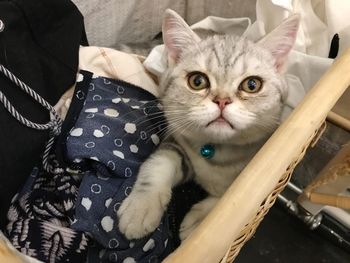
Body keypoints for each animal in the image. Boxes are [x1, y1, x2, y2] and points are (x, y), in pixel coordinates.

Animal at [117, 9, 298, 241]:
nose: (222, 100)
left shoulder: (263, 175)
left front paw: (200, 222)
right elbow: (160, 162)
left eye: (252, 85)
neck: (218, 154)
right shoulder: (176, 140)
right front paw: (141, 206)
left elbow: (233, 199)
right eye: (197, 81)